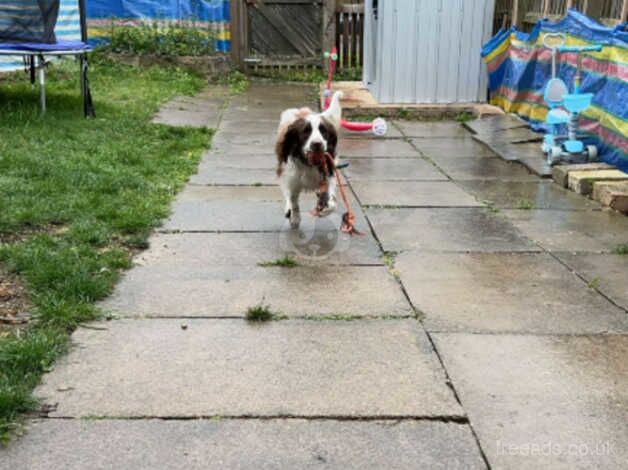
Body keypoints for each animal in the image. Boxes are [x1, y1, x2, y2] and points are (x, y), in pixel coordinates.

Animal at [276, 90, 344, 229]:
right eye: (305, 132)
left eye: (324, 131)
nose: (317, 144)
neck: (309, 164)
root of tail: (301, 111)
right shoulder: (292, 180)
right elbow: (293, 200)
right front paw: (295, 218)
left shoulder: (329, 173)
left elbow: (332, 202)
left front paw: (325, 208)